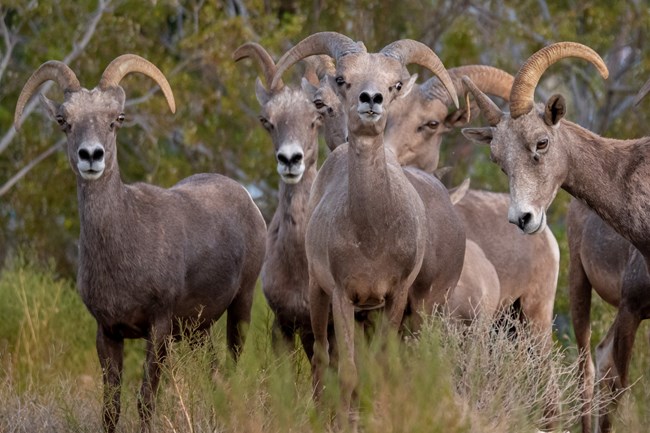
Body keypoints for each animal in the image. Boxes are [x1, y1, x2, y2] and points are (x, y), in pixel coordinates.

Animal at [13, 55, 267, 433]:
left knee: (232, 368)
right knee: (214, 376)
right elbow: (111, 408)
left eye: (117, 119)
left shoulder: (158, 329)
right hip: (198, 330)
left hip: (241, 306)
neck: (126, 243)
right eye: (63, 120)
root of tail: (248, 198)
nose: (92, 155)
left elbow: (146, 400)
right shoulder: (107, 333)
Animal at [271, 31, 465, 430]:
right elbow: (347, 372)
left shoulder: (394, 297)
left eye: (395, 85)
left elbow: (384, 369)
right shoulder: (343, 297)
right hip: (319, 297)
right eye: (342, 79)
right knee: (321, 361)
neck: (372, 238)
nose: (371, 100)